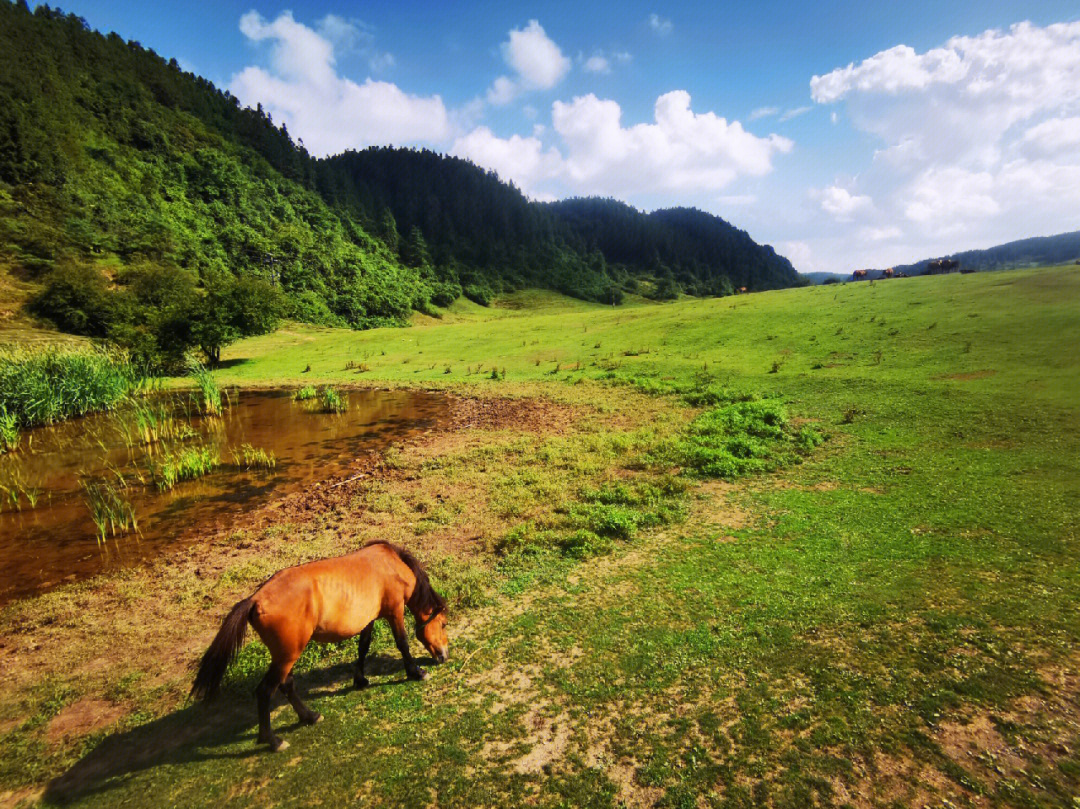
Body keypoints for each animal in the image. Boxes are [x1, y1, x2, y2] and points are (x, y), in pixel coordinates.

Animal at [192, 542, 449, 751]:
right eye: (444, 623)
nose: (444, 655)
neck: (391, 565)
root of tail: (255, 600)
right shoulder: (394, 610)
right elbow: (402, 643)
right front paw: (416, 672)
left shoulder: (369, 619)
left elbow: (363, 647)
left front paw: (360, 679)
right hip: (288, 655)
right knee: (265, 691)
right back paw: (273, 741)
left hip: (285, 656)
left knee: (286, 685)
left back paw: (309, 716)